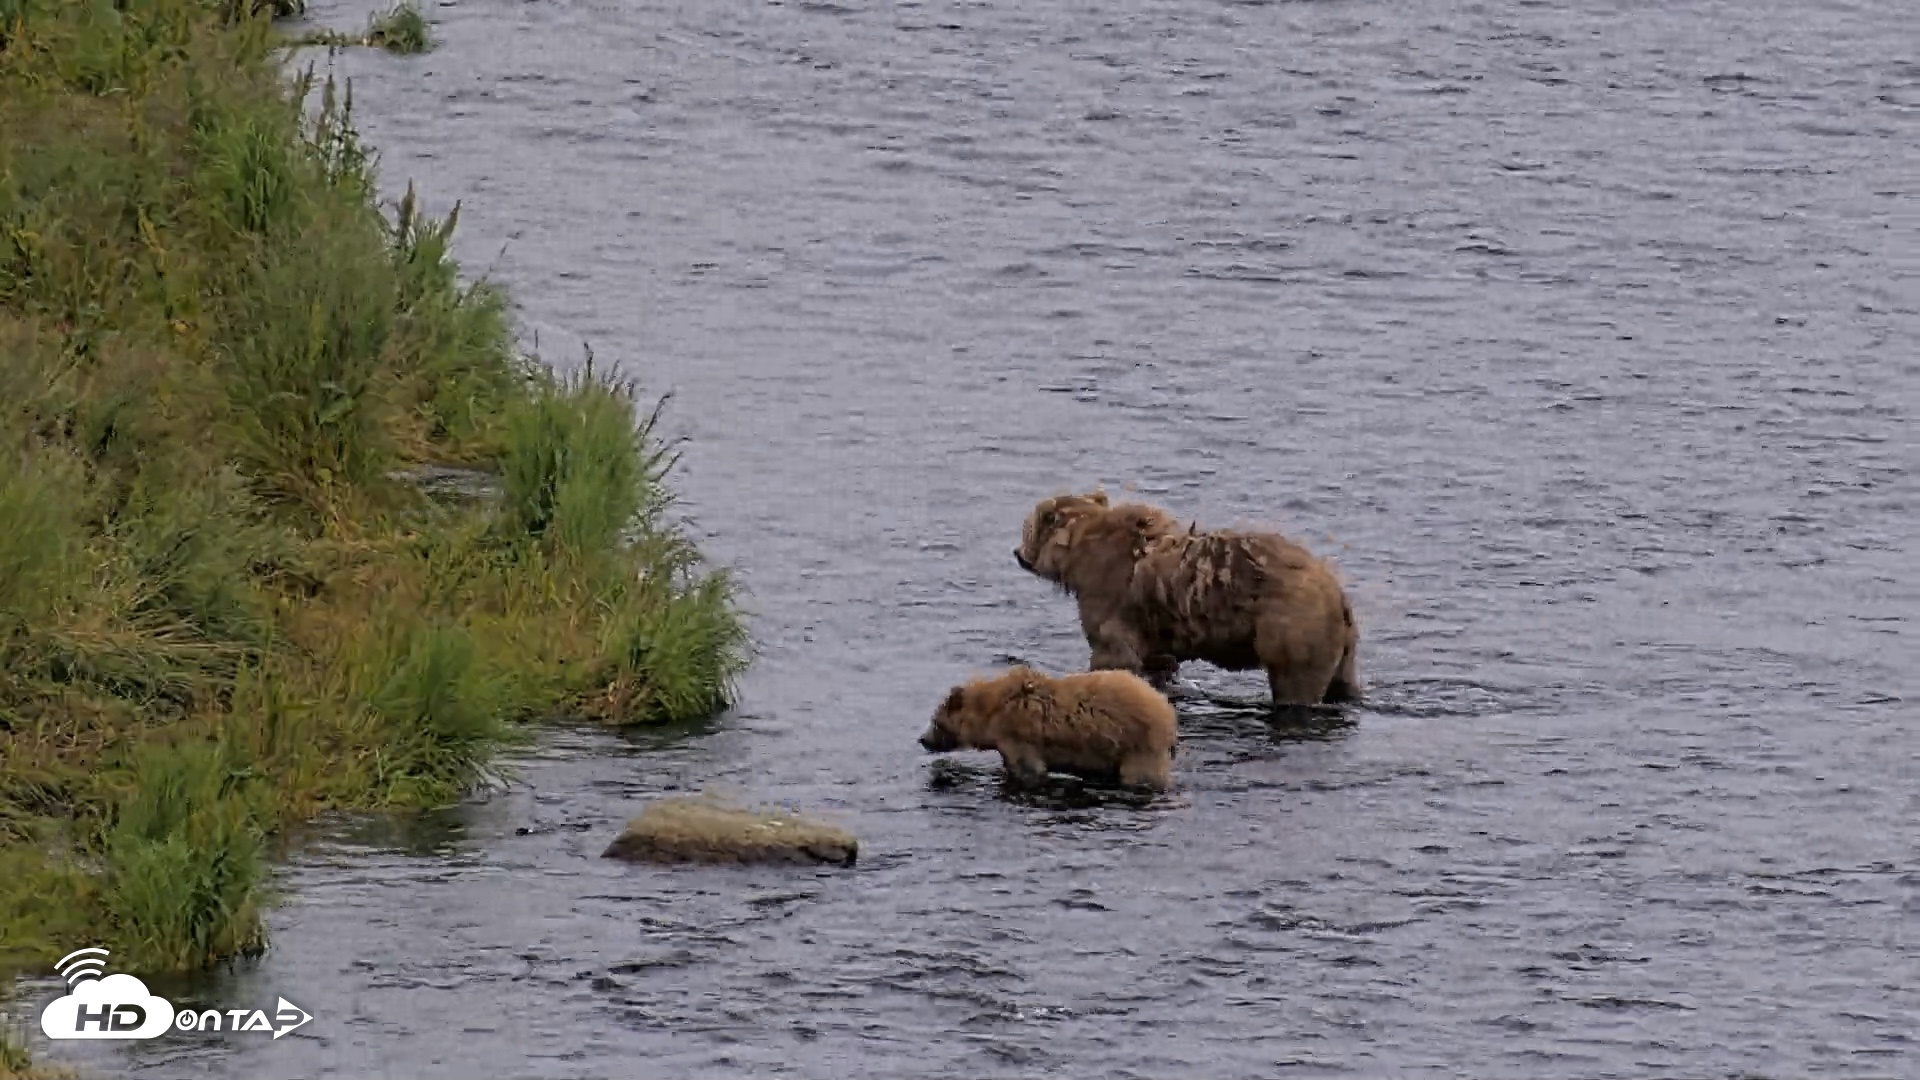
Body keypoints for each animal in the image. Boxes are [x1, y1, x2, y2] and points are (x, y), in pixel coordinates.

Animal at [917, 665, 1178, 791]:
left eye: (936, 721)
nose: (922, 739)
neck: (992, 712)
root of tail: (1167, 711)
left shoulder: (1017, 737)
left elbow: (1028, 769)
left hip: (1138, 747)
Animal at [1014, 489, 1361, 706]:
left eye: (1027, 528)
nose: (1018, 553)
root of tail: (1338, 594)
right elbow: (1158, 661)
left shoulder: (1111, 599)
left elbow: (1112, 654)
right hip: (1341, 643)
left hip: (1291, 627)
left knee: (1296, 679)